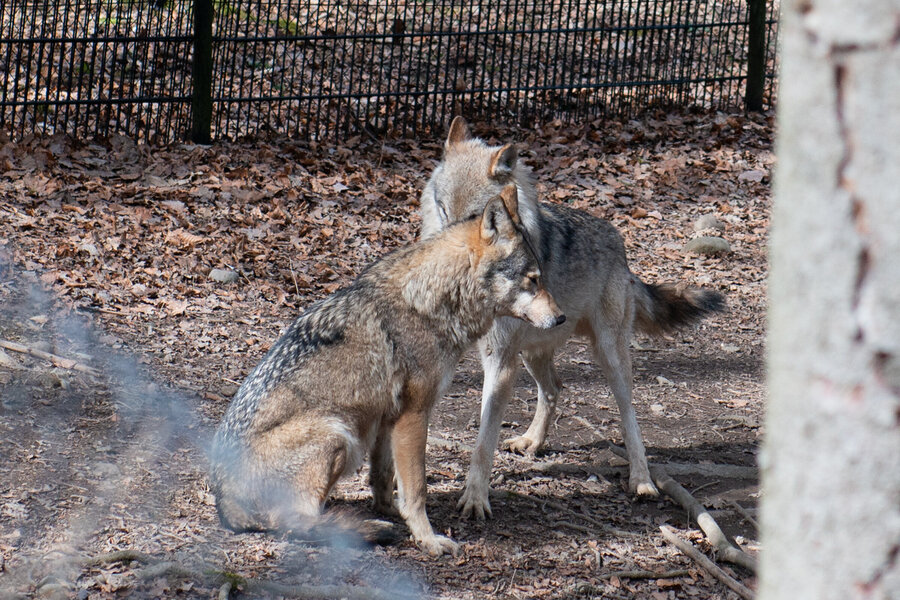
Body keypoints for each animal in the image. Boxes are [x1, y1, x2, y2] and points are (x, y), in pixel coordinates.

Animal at [210, 185, 564, 556]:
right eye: (533, 280)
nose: (561, 318)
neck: (431, 299)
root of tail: (224, 500)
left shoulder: (387, 416)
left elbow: (384, 479)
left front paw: (391, 512)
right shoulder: (414, 413)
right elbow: (417, 488)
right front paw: (427, 538)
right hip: (339, 433)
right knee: (294, 521)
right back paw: (364, 530)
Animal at [422, 117, 724, 520]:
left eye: (476, 217)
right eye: (442, 209)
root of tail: (621, 247)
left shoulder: (499, 360)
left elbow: (484, 441)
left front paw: (474, 498)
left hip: (609, 358)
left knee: (630, 417)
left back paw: (642, 481)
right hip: (533, 354)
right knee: (555, 388)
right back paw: (532, 441)